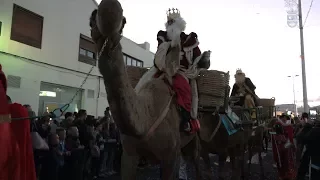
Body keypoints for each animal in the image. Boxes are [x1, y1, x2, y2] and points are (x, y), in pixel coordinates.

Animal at [89, 0, 201, 179]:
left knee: (197, 160)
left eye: (123, 23)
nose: (109, 9)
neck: (145, 118)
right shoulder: (129, 154)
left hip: (195, 138)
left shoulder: (170, 156)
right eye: (91, 21)